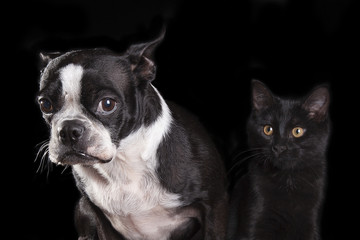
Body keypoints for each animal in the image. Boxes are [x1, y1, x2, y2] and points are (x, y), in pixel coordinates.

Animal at [36, 32, 228, 240]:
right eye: (45, 104)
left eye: (108, 104)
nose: (69, 129)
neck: (123, 163)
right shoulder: (99, 216)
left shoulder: (214, 207)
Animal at [228, 79, 332, 239]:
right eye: (268, 129)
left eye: (297, 131)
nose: (279, 147)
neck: (288, 180)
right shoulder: (254, 219)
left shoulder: (311, 222)